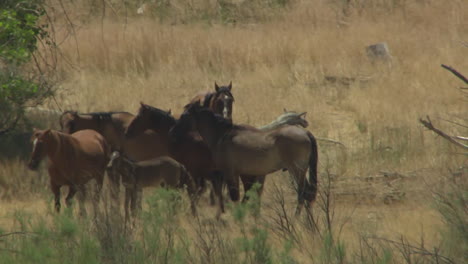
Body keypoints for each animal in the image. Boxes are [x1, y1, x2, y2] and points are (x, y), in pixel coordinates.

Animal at [182, 104, 318, 216]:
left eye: (186, 114)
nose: (177, 126)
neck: (223, 135)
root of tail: (305, 133)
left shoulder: (231, 174)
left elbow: (236, 197)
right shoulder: (243, 175)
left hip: (296, 171)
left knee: (302, 194)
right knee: (308, 194)